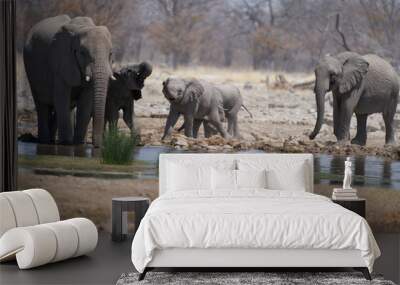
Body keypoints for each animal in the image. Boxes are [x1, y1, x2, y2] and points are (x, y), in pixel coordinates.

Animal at [23, 14, 114, 145]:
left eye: (111, 54)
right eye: (83, 53)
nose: (97, 145)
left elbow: (85, 101)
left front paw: (78, 144)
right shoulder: (61, 62)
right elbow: (61, 96)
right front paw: (66, 144)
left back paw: (53, 140)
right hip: (31, 71)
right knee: (42, 105)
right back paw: (45, 141)